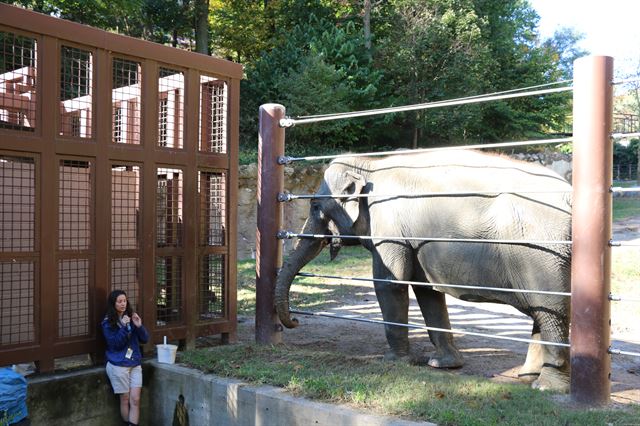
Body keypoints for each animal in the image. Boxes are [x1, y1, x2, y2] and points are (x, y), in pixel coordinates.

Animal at [274, 148, 568, 392]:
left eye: (315, 206)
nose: (296, 320)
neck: (370, 165)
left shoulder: (389, 227)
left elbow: (389, 283)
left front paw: (394, 361)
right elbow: (426, 291)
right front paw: (443, 365)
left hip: (543, 254)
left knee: (549, 309)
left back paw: (546, 387)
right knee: (543, 313)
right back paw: (529, 376)